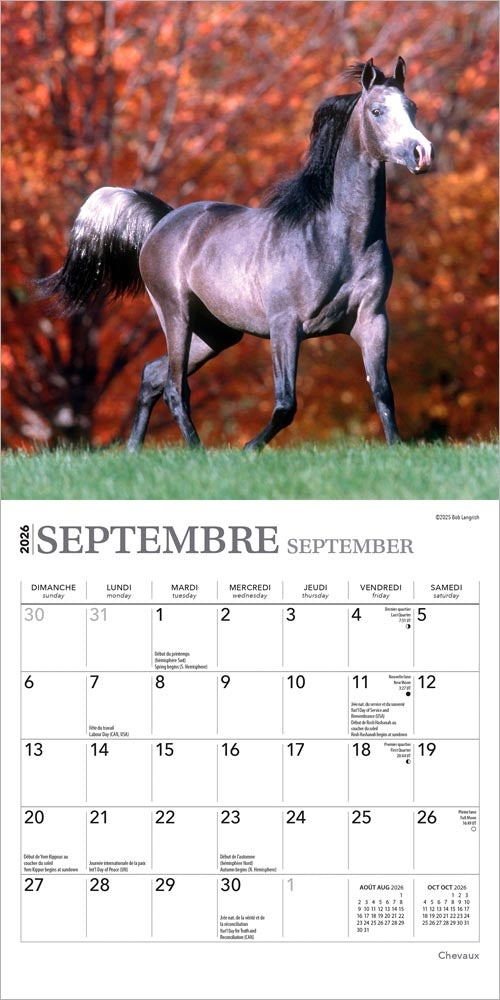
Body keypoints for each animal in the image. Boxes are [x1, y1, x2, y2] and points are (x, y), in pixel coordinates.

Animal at [38, 57, 433, 451]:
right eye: (377, 110)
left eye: (412, 107)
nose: (422, 153)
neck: (337, 238)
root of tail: (163, 220)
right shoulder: (285, 325)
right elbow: (285, 404)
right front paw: (249, 449)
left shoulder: (372, 320)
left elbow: (382, 392)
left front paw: (396, 449)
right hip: (176, 315)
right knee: (174, 387)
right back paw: (197, 451)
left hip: (217, 333)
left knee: (152, 375)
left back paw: (134, 450)